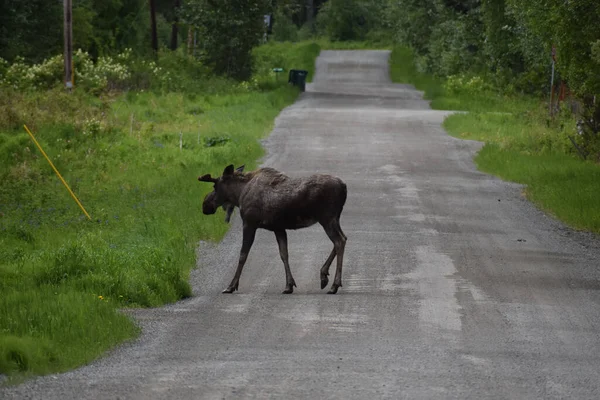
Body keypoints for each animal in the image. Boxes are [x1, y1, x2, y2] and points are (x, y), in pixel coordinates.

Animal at [198, 165, 346, 294]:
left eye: (215, 186)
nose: (205, 205)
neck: (239, 195)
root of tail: (344, 186)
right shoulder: (278, 228)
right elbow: (284, 254)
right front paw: (289, 285)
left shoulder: (249, 223)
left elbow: (243, 255)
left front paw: (231, 286)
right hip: (334, 219)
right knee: (343, 239)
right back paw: (324, 275)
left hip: (327, 219)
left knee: (339, 241)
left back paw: (334, 285)